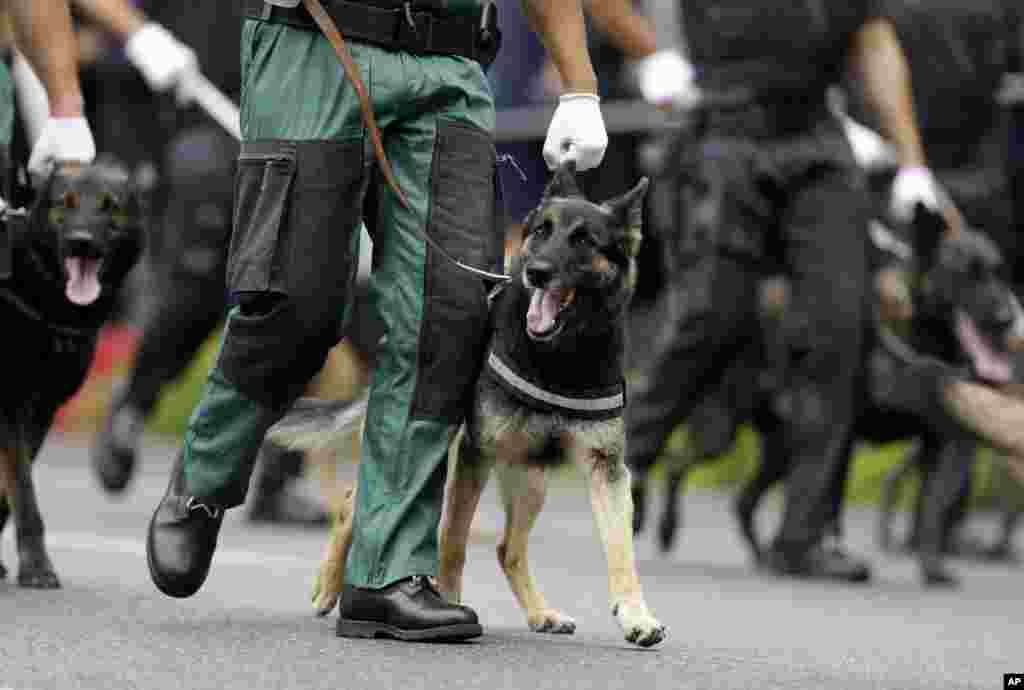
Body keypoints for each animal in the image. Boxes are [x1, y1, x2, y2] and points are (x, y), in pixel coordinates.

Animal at [0, 159, 144, 585]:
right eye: (65, 204)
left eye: (110, 206)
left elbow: (10, 492)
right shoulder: (10, 405)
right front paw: (36, 566)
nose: (81, 241)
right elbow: (23, 491)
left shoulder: (42, 409)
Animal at [272, 164, 667, 647]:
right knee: (353, 506)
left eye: (585, 240)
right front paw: (446, 601)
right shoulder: (474, 457)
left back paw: (541, 613)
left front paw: (636, 616)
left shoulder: (605, 469)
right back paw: (329, 586)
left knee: (508, 549)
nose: (536, 272)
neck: (557, 357)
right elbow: (452, 541)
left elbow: (620, 551)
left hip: (531, 478)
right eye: (542, 231)